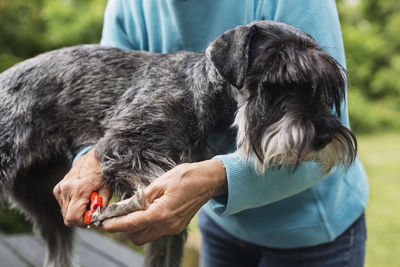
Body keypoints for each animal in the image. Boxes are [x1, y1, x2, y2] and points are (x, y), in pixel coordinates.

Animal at [0, 21, 356, 267]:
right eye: (277, 82)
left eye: (320, 86)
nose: (323, 137)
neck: (200, 94)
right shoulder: (123, 144)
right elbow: (149, 180)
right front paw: (125, 206)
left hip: (43, 203)